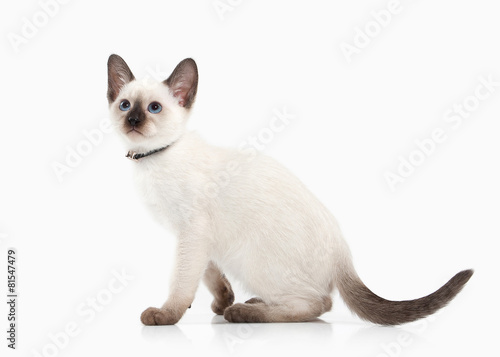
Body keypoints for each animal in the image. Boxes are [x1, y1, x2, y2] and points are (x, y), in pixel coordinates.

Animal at [105, 54, 472, 324]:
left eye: (154, 108)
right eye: (125, 105)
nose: (133, 121)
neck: (152, 159)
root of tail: (343, 251)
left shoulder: (192, 231)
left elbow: (182, 282)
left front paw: (167, 314)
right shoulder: (193, 236)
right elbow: (209, 275)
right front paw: (222, 298)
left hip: (251, 259)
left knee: (319, 304)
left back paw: (246, 312)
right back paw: (248, 304)